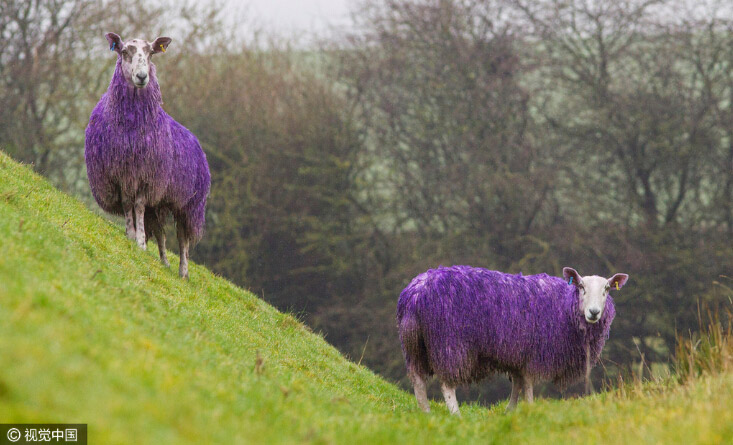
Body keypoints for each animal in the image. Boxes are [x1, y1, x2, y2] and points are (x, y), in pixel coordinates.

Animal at [87, 33, 212, 278]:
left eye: (151, 53)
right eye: (124, 51)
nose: (142, 76)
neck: (131, 126)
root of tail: (196, 143)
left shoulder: (147, 177)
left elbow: (138, 206)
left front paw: (141, 243)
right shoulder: (121, 174)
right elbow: (128, 205)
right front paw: (131, 235)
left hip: (189, 203)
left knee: (183, 238)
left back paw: (183, 271)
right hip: (161, 201)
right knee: (161, 233)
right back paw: (164, 262)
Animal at [398, 264, 628, 412]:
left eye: (607, 289)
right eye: (581, 287)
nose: (594, 312)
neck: (565, 307)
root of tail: (415, 293)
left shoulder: (518, 354)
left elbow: (517, 383)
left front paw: (510, 410)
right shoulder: (533, 354)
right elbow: (528, 384)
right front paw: (530, 409)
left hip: (415, 345)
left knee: (418, 380)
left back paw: (426, 413)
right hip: (449, 342)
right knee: (447, 384)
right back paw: (455, 414)